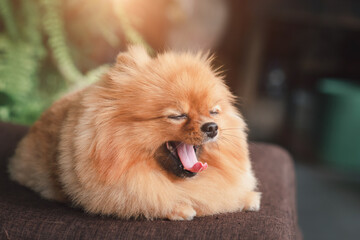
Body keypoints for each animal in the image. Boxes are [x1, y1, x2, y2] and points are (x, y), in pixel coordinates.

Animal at [8, 46, 260, 220]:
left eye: (213, 112)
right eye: (178, 115)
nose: (212, 127)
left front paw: (246, 197)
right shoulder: (114, 193)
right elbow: (144, 199)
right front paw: (179, 207)